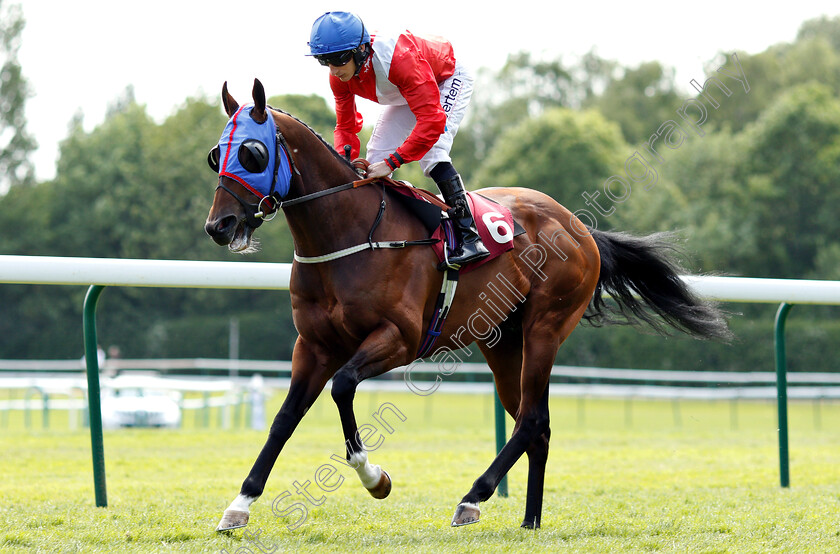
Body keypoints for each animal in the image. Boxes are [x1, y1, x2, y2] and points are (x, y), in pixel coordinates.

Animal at [203, 78, 728, 532]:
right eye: (215, 155)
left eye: (252, 153)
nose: (219, 226)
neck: (348, 236)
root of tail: (580, 228)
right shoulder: (312, 345)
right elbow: (284, 420)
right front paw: (239, 504)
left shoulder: (400, 338)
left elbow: (344, 386)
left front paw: (376, 479)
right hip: (502, 343)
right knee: (536, 423)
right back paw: (530, 519)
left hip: (545, 327)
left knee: (530, 419)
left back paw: (473, 498)